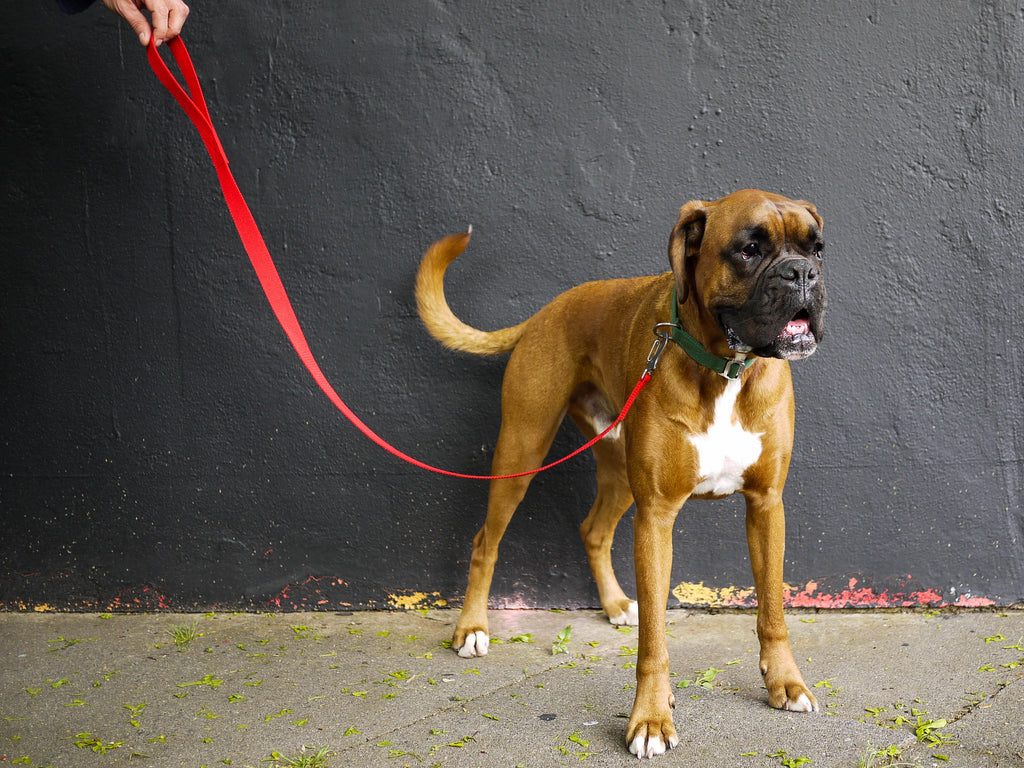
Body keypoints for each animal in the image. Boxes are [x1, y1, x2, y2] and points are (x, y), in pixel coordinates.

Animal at [413, 191, 823, 757]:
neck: (723, 370)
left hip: (618, 471)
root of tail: (546, 311)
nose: (802, 274)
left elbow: (772, 613)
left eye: (816, 248)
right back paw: (472, 627)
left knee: (593, 531)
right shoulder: (656, 518)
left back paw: (612, 606)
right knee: (485, 541)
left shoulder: (766, 505)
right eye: (749, 249)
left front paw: (785, 683)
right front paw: (650, 719)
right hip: (522, 449)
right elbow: (655, 638)